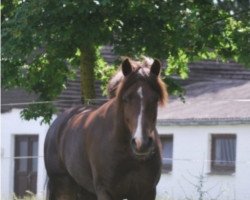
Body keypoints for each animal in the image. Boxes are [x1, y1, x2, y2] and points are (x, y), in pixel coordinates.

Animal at [44, 57, 168, 199]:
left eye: (155, 98)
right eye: (126, 98)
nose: (141, 143)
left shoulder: (146, 192)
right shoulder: (106, 192)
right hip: (63, 187)